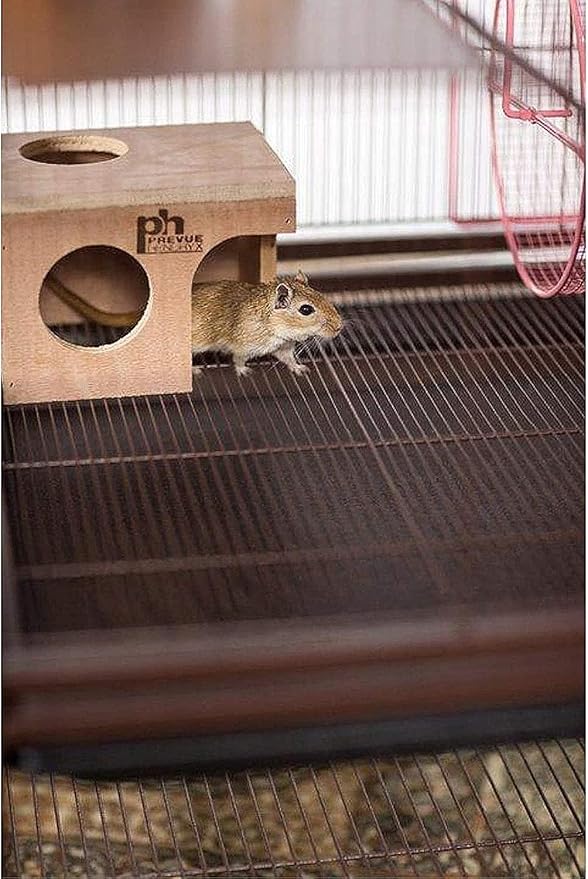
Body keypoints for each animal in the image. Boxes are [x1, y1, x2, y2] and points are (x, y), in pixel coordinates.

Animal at [45, 269, 343, 376]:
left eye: (322, 296)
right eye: (306, 310)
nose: (339, 327)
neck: (273, 322)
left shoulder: (281, 346)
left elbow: (288, 358)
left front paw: (300, 368)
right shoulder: (245, 344)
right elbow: (238, 358)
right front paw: (243, 371)